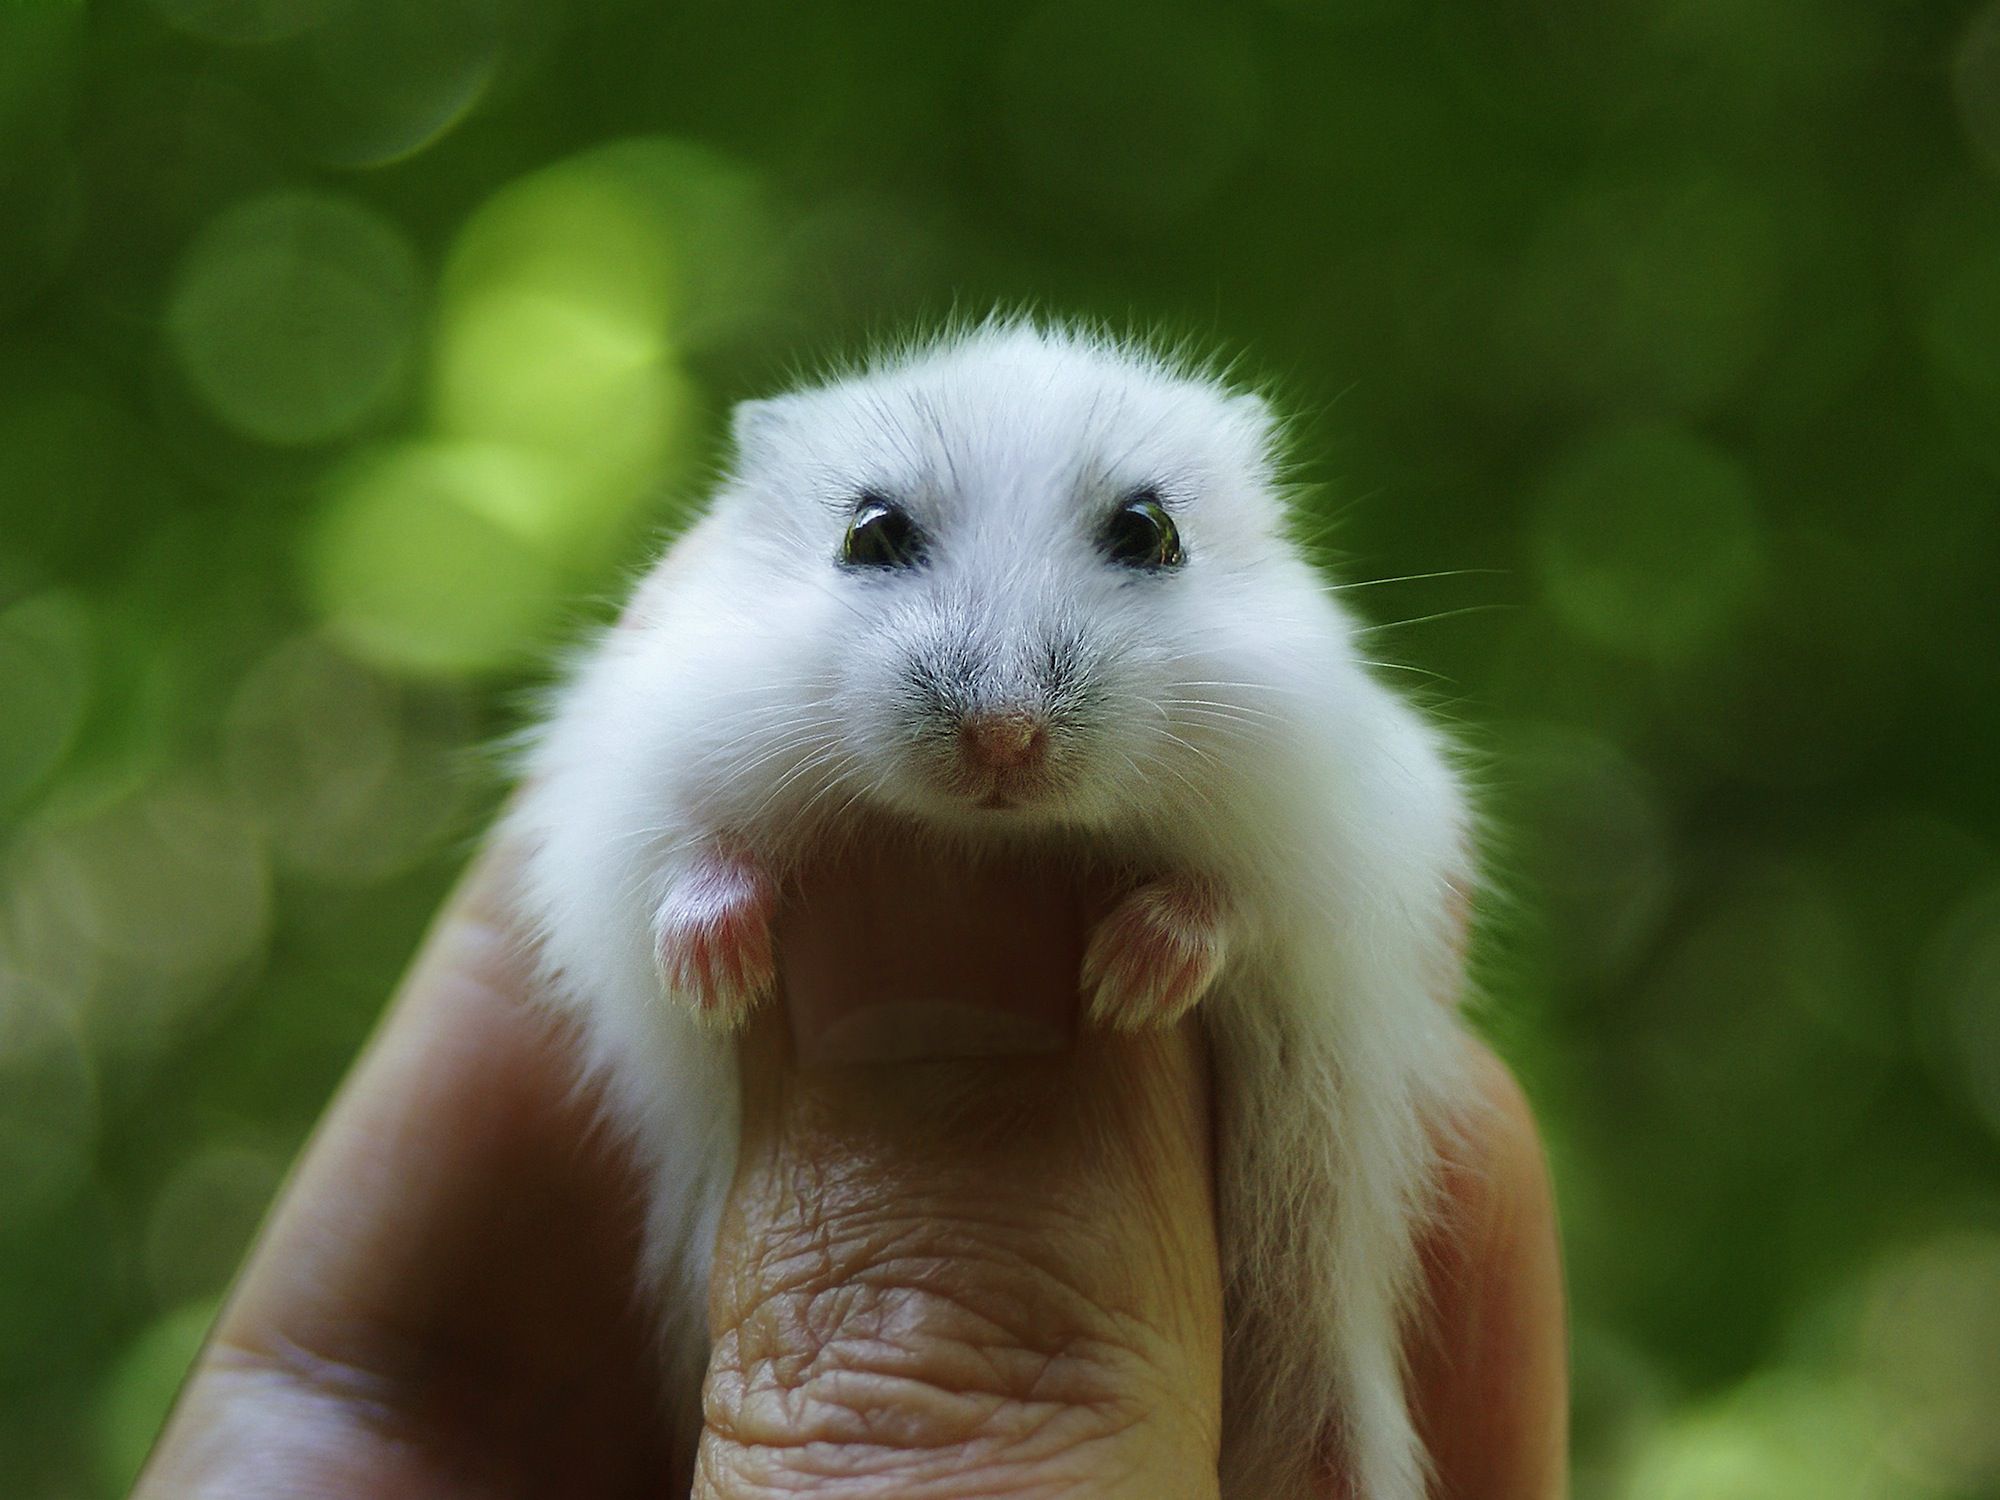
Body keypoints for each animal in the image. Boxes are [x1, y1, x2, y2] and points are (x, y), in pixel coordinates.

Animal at [508, 324, 1480, 1496]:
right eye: (869, 533)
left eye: (1150, 530)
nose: (1004, 741)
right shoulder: (622, 799)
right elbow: (686, 864)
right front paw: (718, 979)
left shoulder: (1334, 839)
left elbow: (1224, 903)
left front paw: (1123, 986)